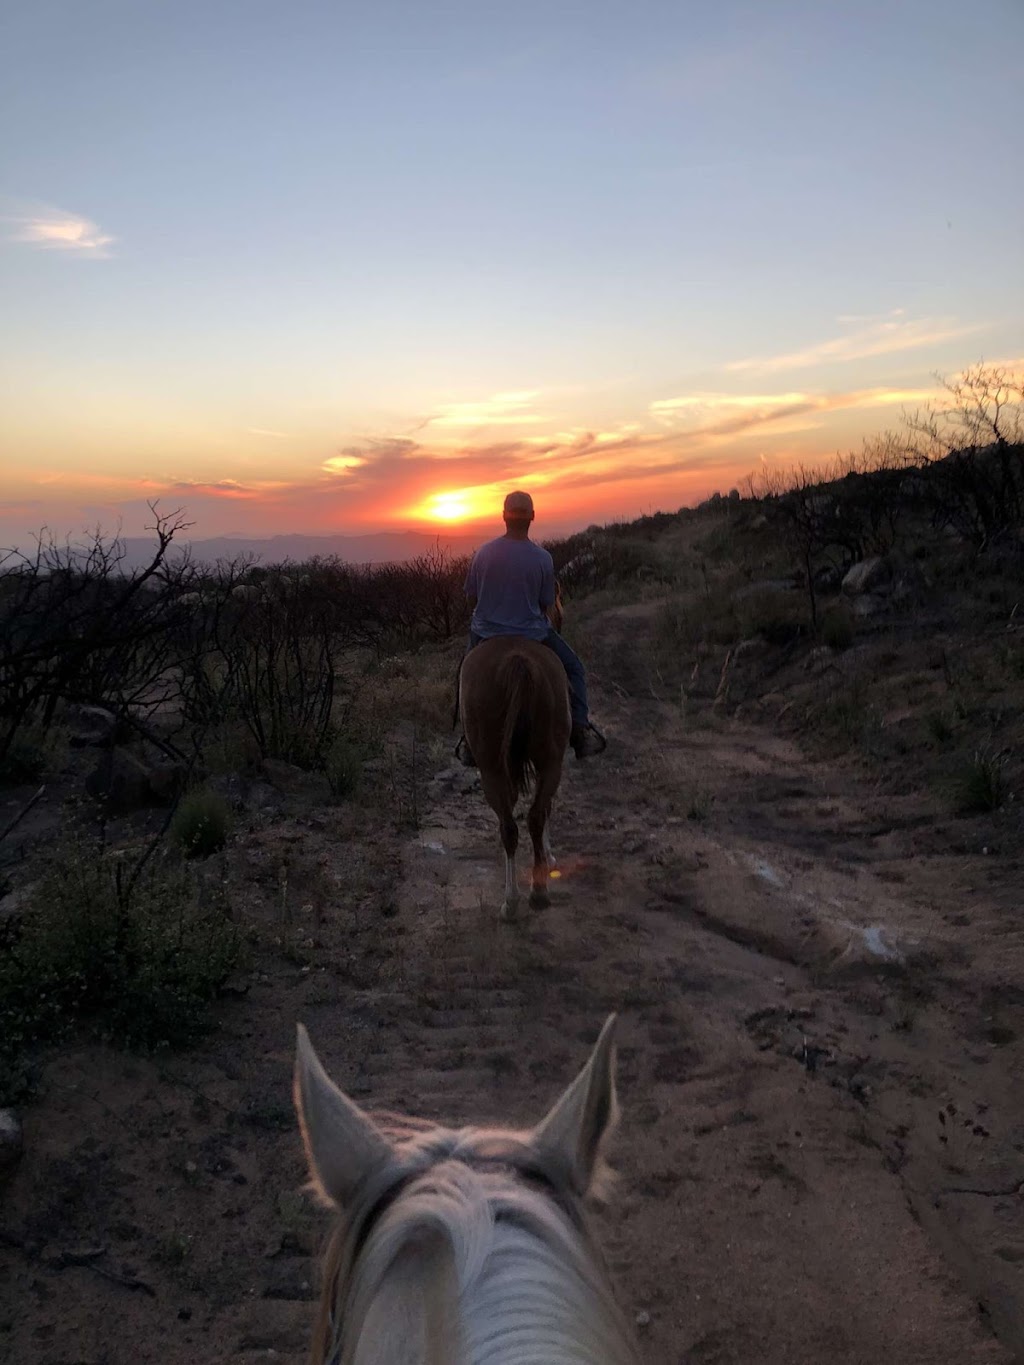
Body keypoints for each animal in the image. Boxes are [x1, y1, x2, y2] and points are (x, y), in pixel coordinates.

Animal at [461, 636, 573, 917]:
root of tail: (518, 662)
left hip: (491, 770)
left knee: (510, 827)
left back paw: (511, 901)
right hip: (550, 762)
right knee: (535, 816)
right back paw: (538, 892)